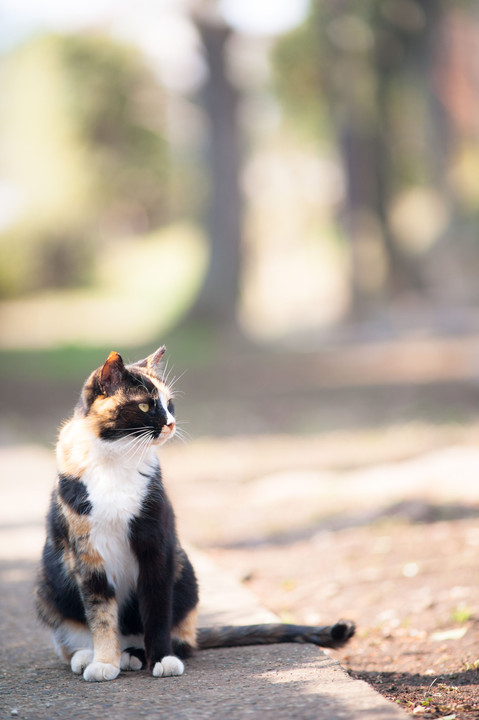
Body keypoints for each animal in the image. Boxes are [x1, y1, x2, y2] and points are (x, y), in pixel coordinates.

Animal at [35, 348, 354, 680]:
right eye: (146, 405)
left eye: (169, 403)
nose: (171, 423)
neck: (118, 462)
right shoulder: (88, 555)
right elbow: (100, 614)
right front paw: (104, 662)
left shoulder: (158, 546)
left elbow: (157, 609)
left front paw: (162, 658)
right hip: (49, 586)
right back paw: (89, 655)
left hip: (184, 568)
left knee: (184, 639)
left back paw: (135, 654)